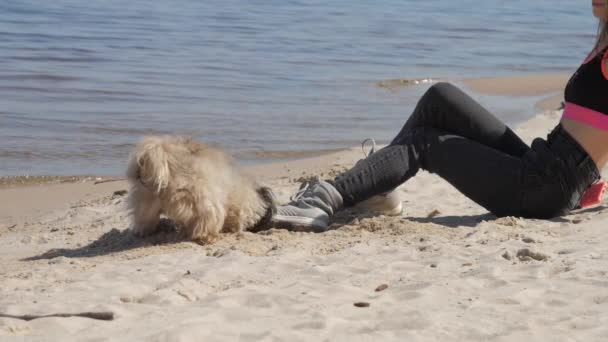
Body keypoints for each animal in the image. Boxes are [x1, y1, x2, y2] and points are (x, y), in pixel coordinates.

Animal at [126, 135, 276, 244]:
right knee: (208, 218)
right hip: (201, 198)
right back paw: (208, 236)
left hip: (146, 199)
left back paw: (145, 231)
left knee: (144, 218)